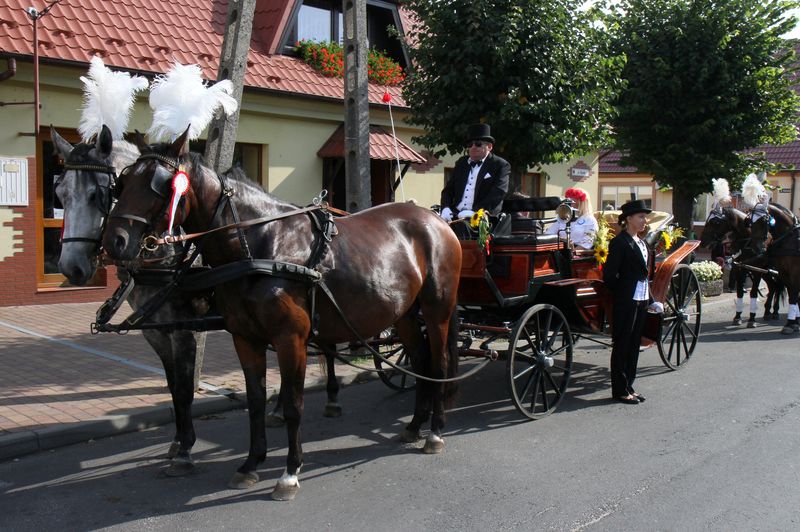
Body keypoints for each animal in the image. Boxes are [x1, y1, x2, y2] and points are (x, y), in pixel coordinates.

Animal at [50, 127, 209, 476]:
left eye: (98, 194)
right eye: (60, 194)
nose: (71, 267)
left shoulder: (184, 331)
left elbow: (185, 390)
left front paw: (186, 449)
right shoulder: (157, 332)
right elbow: (173, 387)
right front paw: (178, 441)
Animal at [101, 131, 462, 500]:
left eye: (159, 184)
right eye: (123, 183)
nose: (114, 241)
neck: (261, 246)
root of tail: (437, 222)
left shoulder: (290, 339)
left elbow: (292, 403)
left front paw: (290, 472)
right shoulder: (246, 339)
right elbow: (256, 401)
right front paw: (250, 464)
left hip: (437, 309)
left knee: (439, 364)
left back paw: (435, 432)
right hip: (404, 314)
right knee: (420, 362)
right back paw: (415, 426)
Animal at [740, 202, 796, 334]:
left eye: (764, 220)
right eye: (750, 222)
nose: (756, 248)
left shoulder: (794, 272)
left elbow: (794, 295)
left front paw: (791, 323)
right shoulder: (784, 273)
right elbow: (793, 295)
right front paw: (792, 323)